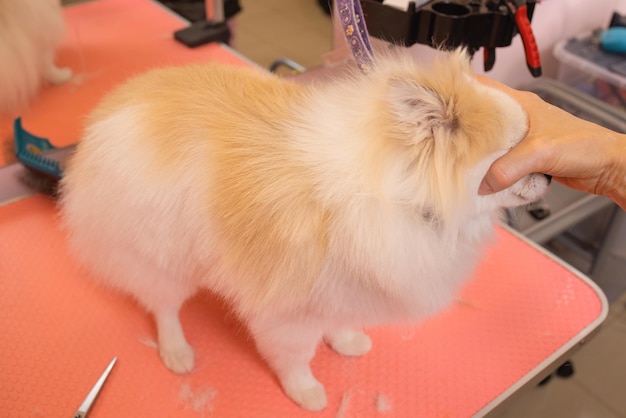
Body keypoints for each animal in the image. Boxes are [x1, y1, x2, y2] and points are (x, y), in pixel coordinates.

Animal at [57, 49, 544, 412]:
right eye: (511, 157)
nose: (548, 175)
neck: (396, 196)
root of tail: (108, 114)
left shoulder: (344, 284)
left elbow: (339, 318)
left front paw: (344, 340)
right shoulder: (288, 308)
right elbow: (296, 355)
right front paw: (305, 389)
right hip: (161, 255)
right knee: (163, 306)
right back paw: (176, 349)